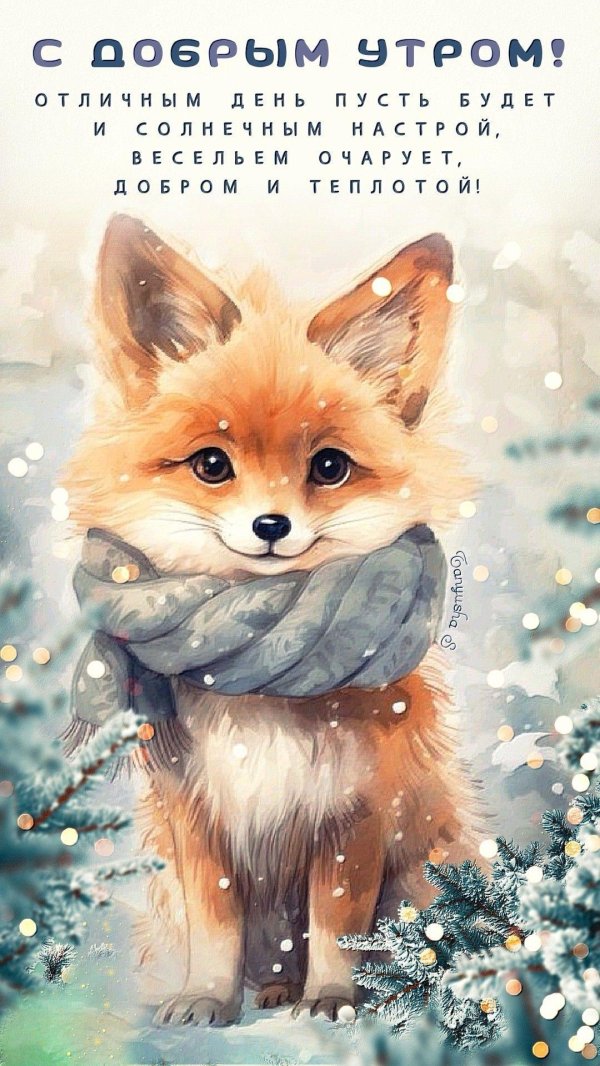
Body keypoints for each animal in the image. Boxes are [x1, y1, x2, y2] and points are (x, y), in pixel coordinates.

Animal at [65, 214, 479, 1027]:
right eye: (211, 464)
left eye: (329, 467)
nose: (270, 526)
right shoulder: (196, 814)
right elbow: (216, 925)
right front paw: (206, 997)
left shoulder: (353, 814)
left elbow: (338, 924)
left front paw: (333, 998)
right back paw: (275, 989)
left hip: (422, 881)